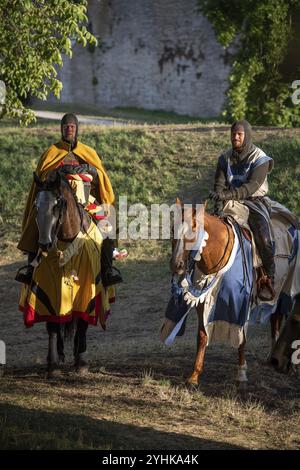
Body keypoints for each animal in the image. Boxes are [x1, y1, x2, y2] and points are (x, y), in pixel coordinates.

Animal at [162, 200, 288, 388]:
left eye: (193, 229)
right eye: (172, 228)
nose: (176, 265)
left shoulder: (241, 304)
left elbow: (241, 337)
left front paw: (241, 373)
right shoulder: (202, 301)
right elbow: (202, 335)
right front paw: (194, 376)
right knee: (275, 319)